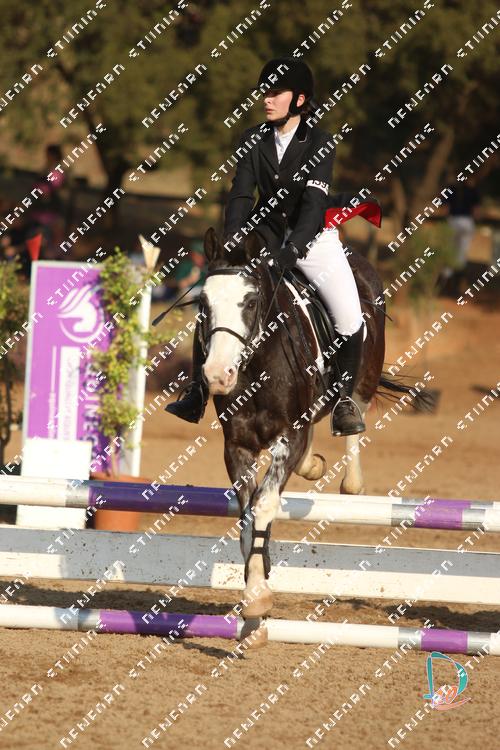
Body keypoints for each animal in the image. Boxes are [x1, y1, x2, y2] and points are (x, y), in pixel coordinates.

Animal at [197, 226, 400, 619]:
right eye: (204, 303)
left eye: (250, 302)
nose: (217, 376)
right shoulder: (237, 445)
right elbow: (248, 511)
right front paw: (256, 582)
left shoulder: (290, 435)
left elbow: (264, 502)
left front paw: (257, 594)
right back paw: (312, 465)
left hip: (365, 372)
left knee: (356, 410)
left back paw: (351, 478)